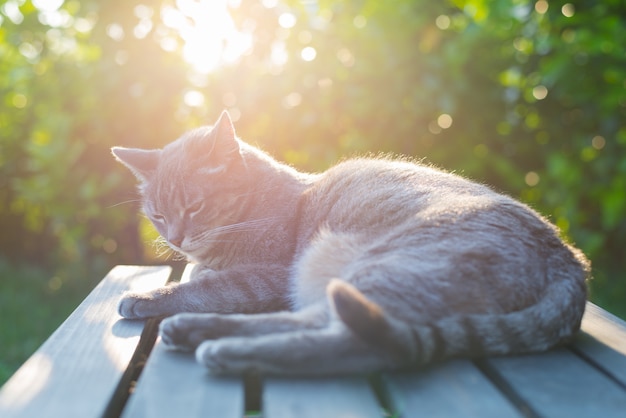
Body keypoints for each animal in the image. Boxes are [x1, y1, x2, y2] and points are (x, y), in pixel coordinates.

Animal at [113, 110, 588, 376]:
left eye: (194, 206)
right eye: (158, 216)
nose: (175, 237)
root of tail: (570, 261)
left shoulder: (269, 274)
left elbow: (207, 286)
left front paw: (149, 295)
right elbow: (204, 276)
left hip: (374, 268)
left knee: (358, 344)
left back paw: (220, 348)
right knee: (319, 325)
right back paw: (202, 335)